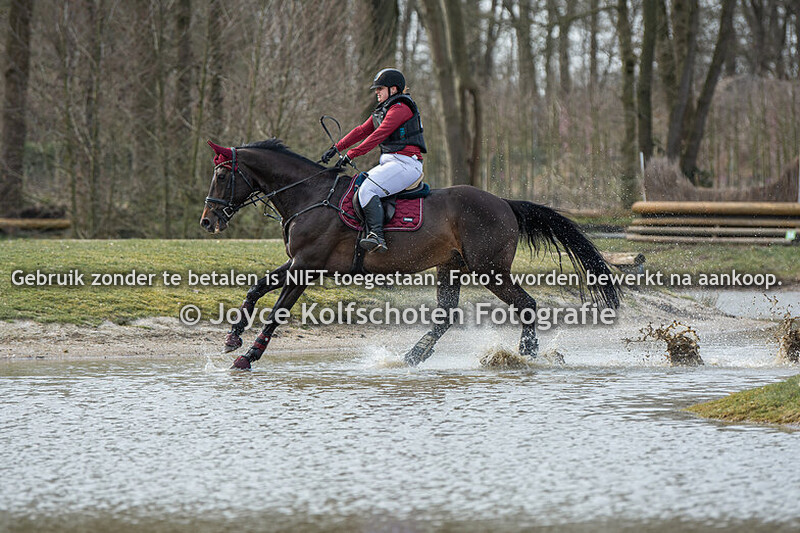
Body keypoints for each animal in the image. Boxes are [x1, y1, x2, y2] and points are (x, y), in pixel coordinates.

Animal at [200, 139, 621, 369]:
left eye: (221, 175)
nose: (207, 221)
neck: (309, 195)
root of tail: (503, 202)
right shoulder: (297, 264)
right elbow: (256, 289)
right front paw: (233, 339)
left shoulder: (306, 268)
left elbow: (276, 312)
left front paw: (247, 357)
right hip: (452, 267)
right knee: (447, 315)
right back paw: (414, 355)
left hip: (489, 270)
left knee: (527, 304)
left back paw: (527, 354)